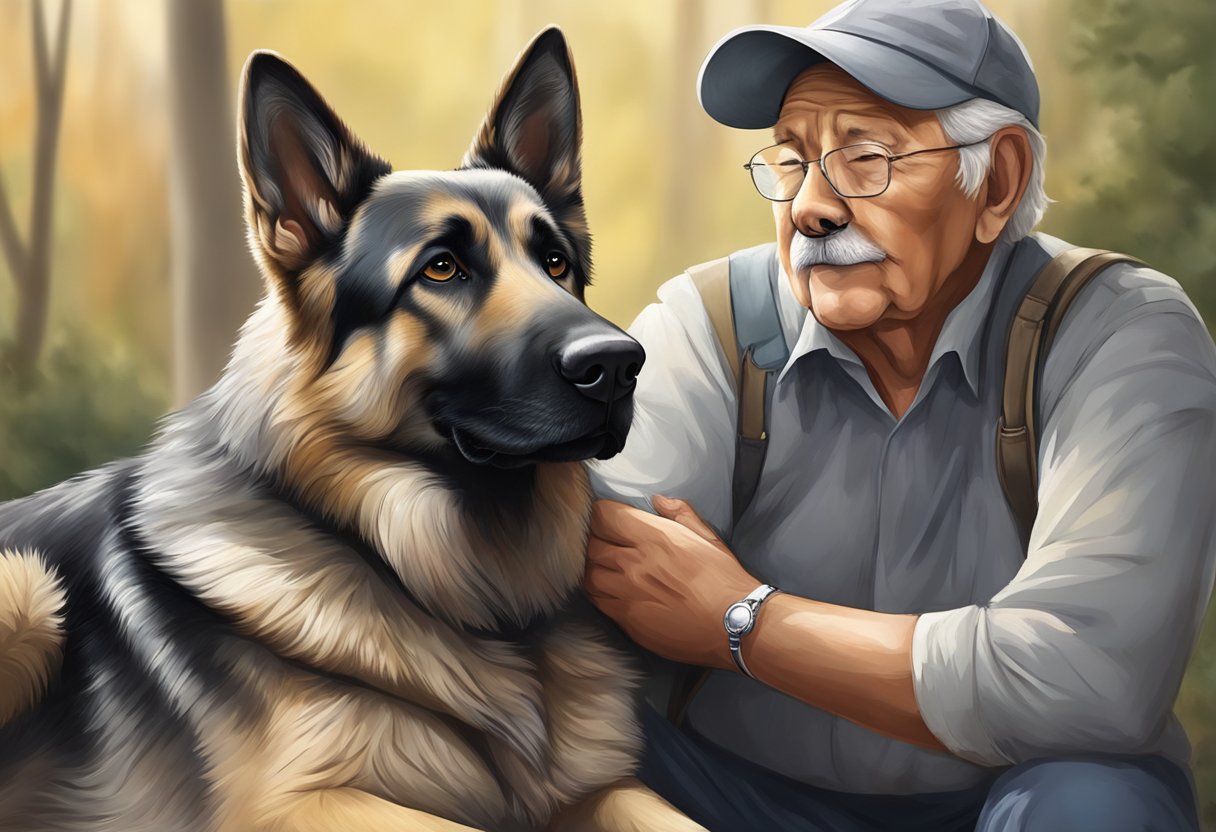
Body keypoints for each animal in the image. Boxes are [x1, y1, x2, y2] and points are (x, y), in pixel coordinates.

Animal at [0, 27, 705, 832]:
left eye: (556, 262)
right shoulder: (296, 804)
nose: (620, 365)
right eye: (441, 269)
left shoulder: (603, 788)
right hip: (26, 589)